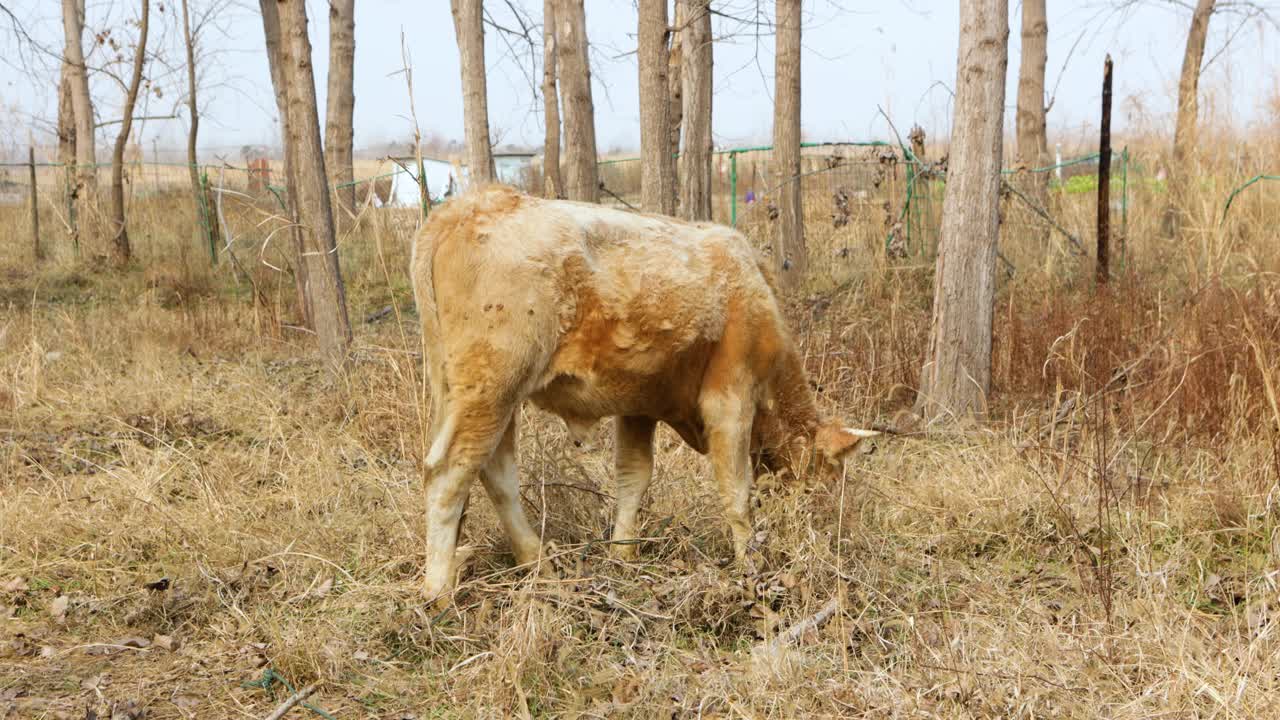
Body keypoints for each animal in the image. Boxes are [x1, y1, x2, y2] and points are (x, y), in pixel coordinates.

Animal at [412, 184, 880, 599]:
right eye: (831, 474)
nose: (835, 527)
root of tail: (468, 206)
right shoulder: (730, 398)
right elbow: (736, 492)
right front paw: (750, 565)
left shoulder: (638, 405)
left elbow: (633, 478)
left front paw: (623, 556)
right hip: (492, 386)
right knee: (448, 472)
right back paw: (438, 590)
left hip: (475, 393)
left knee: (497, 473)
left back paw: (537, 562)